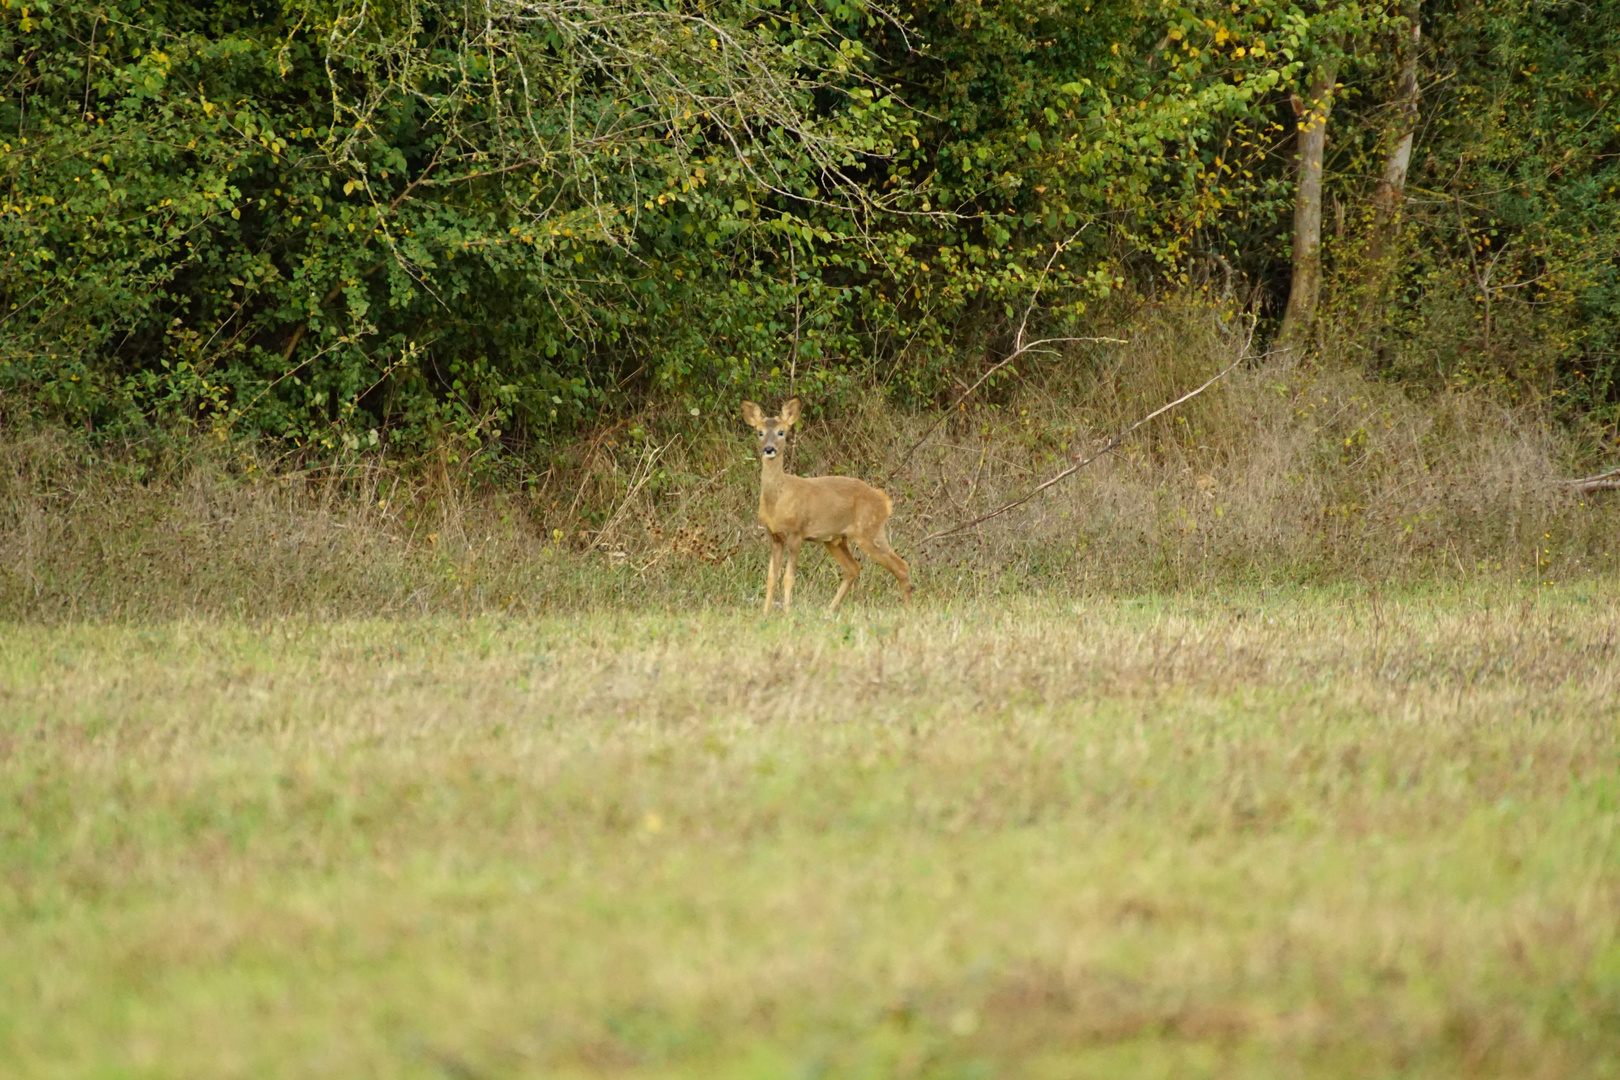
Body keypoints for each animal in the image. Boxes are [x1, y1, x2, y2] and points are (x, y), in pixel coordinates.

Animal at [741, 396, 913, 615]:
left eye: (781, 432)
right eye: (760, 432)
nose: (769, 449)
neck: (778, 501)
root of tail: (884, 501)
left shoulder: (796, 533)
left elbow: (788, 577)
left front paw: (787, 613)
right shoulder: (774, 535)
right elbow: (772, 577)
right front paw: (765, 613)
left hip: (869, 531)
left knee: (901, 566)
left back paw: (907, 611)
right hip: (836, 539)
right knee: (853, 568)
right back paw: (830, 611)